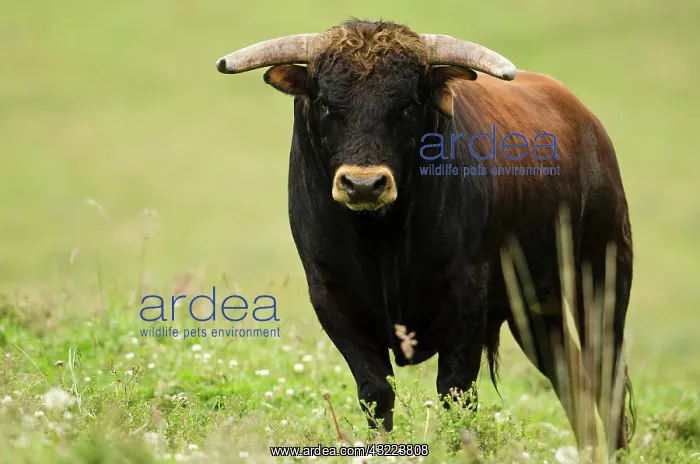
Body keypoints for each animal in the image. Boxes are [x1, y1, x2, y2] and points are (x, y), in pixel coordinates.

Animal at [216, 19, 634, 452]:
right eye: (328, 104)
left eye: (407, 105)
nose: (363, 185)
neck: (382, 238)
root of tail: (586, 122)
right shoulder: (332, 298)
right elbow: (376, 391)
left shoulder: (467, 297)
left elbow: (455, 392)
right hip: (536, 309)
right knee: (569, 377)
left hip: (603, 278)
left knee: (607, 374)